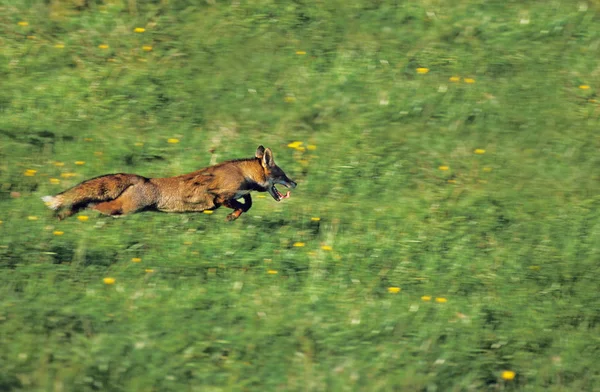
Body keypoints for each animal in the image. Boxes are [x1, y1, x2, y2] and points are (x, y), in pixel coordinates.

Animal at [41, 146, 296, 222]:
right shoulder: (219, 195)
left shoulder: (237, 192)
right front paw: (232, 216)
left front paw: (233, 216)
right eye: (283, 174)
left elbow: (248, 202)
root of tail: (141, 179)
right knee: (90, 205)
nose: (295, 183)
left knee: (79, 204)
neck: (242, 174)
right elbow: (242, 206)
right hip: (124, 209)